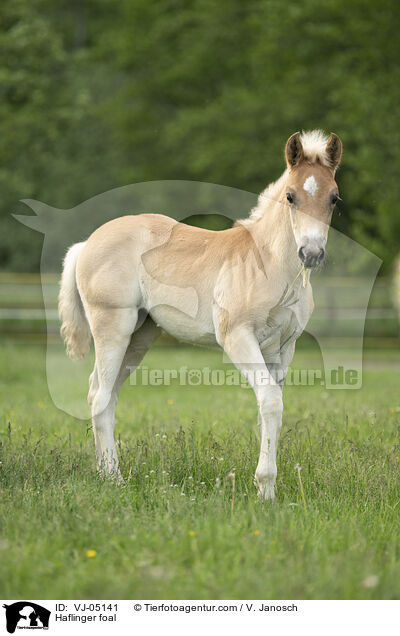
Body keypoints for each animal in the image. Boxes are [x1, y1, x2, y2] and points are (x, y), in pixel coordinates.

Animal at [58, 128, 340, 496]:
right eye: (291, 197)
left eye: (334, 198)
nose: (311, 253)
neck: (270, 265)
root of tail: (87, 243)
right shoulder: (237, 337)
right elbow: (270, 402)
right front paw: (264, 488)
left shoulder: (283, 347)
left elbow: (269, 407)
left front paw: (268, 489)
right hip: (113, 327)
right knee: (100, 397)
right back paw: (114, 479)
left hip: (140, 336)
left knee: (104, 393)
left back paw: (106, 472)